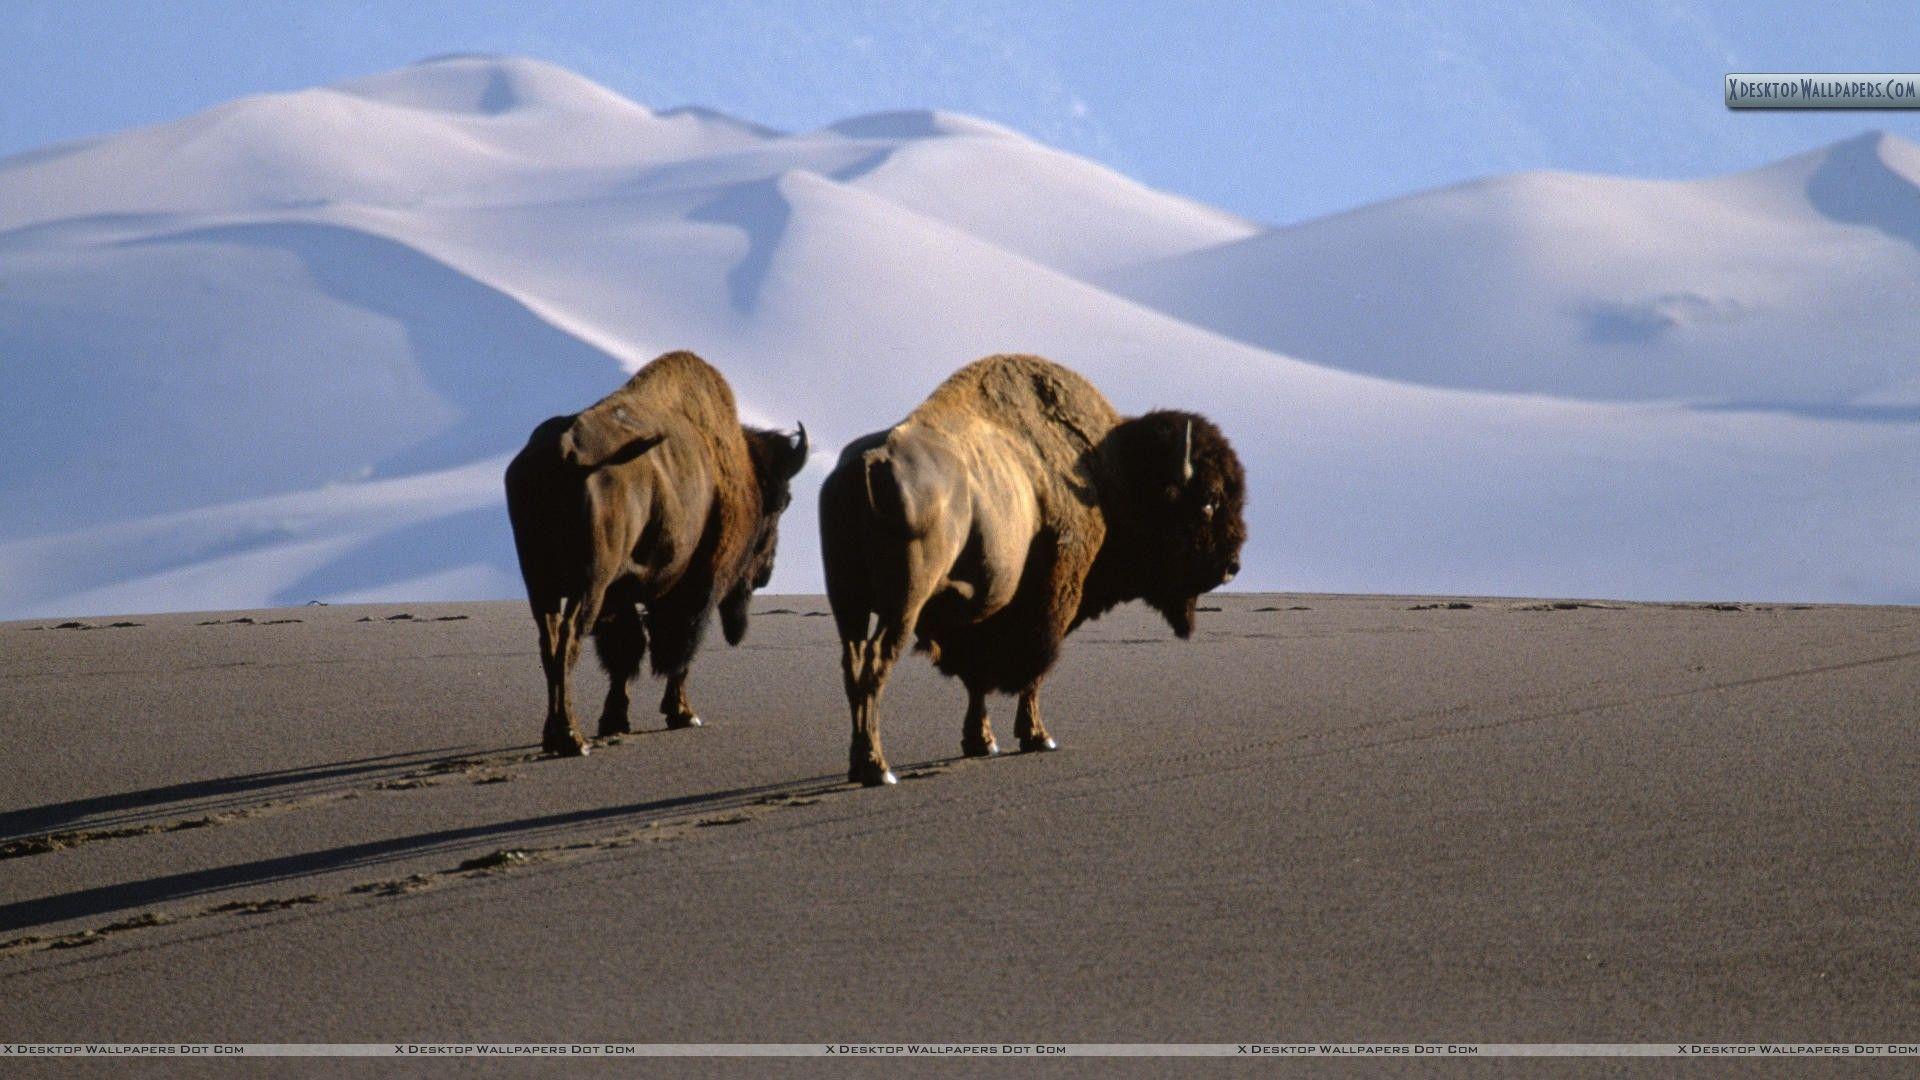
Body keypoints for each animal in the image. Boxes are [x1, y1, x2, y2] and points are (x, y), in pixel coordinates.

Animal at [506, 349, 806, 753]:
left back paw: (555, 734)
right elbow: (677, 649)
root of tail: (566, 451)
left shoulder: (620, 596)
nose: (766, 574)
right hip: (589, 584)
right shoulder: (696, 587)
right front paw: (683, 714)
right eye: (781, 503)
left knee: (550, 644)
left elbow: (626, 653)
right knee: (569, 641)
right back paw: (571, 738)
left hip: (542, 586)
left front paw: (615, 719)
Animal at [821, 353, 1244, 780]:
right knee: (877, 661)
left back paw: (861, 763)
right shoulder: (1052, 601)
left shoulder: (982, 612)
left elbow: (977, 679)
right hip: (903, 602)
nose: (1231, 566)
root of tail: (868, 463)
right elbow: (1033, 671)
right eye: (1209, 501)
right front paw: (1038, 737)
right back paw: (878, 768)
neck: (1110, 473)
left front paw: (982, 742)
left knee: (853, 663)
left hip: (847, 601)